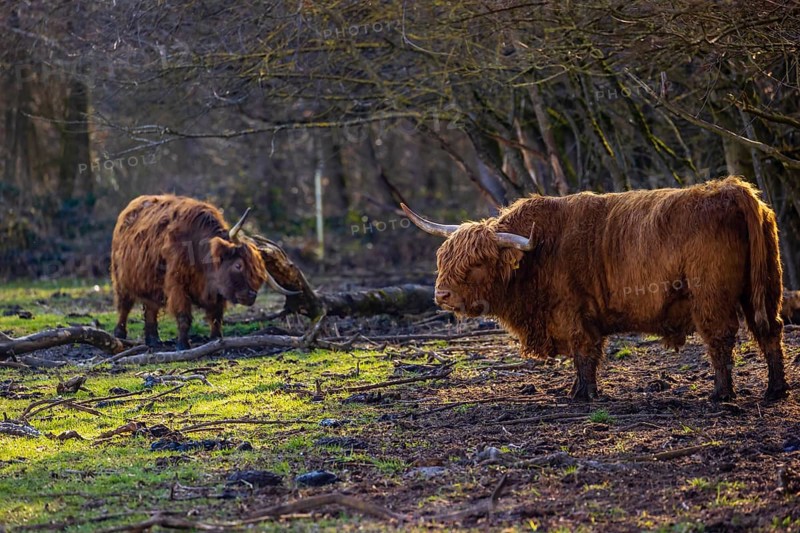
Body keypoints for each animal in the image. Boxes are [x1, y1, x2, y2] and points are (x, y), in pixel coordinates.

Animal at [111, 195, 295, 350]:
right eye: (238, 265)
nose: (251, 295)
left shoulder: (218, 290)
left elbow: (216, 316)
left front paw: (216, 339)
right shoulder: (177, 285)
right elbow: (184, 316)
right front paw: (183, 345)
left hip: (150, 283)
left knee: (151, 308)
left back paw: (154, 340)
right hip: (121, 279)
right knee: (124, 306)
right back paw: (120, 334)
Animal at [402, 176, 789, 402]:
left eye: (477, 263)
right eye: (443, 258)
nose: (441, 295)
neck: (537, 255)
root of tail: (733, 189)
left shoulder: (573, 313)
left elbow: (583, 354)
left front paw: (582, 395)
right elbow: (588, 356)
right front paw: (578, 391)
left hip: (711, 294)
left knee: (720, 337)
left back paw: (721, 395)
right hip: (765, 286)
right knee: (770, 331)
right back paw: (775, 391)